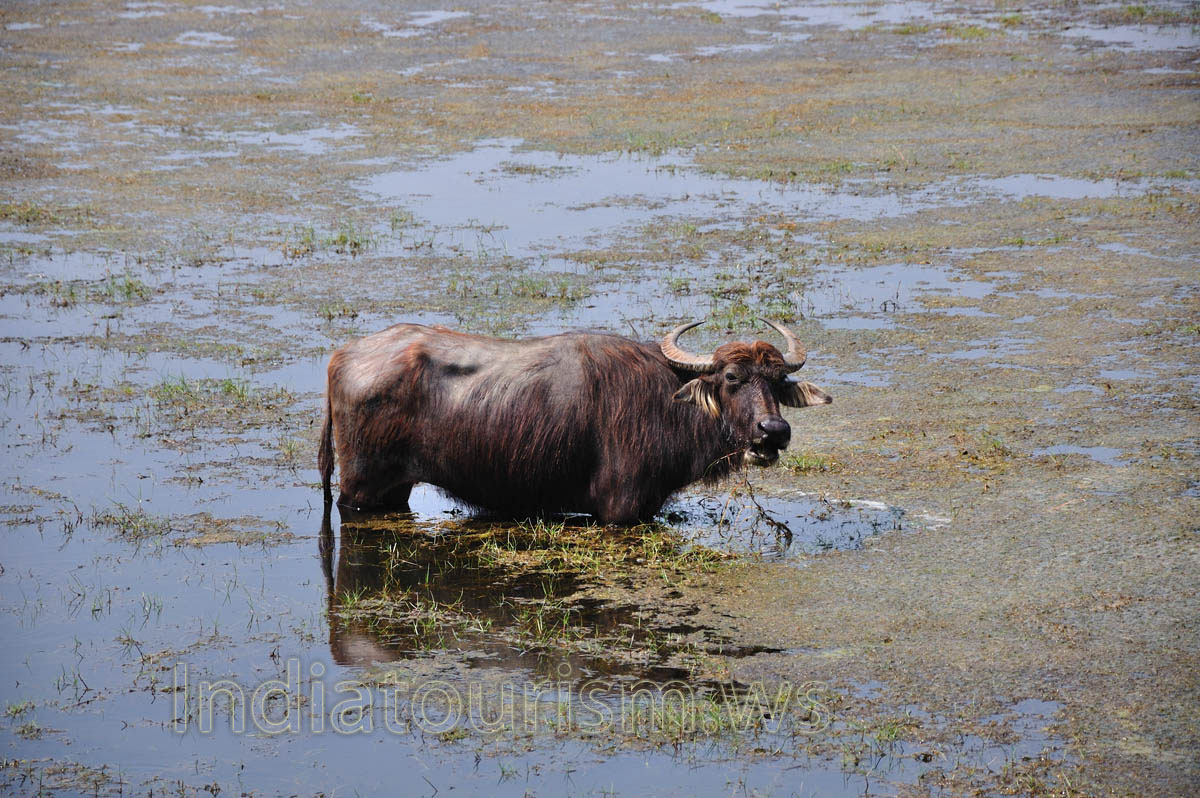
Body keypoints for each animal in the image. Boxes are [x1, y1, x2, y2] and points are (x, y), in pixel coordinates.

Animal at [318, 319, 831, 524]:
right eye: (731, 378)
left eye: (778, 381)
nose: (773, 433)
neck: (664, 402)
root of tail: (343, 355)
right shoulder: (621, 510)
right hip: (361, 487)